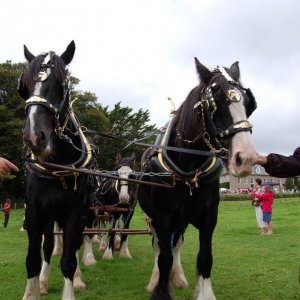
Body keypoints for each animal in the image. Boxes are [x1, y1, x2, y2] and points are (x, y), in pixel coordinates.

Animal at [19, 40, 94, 300]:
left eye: (62, 85)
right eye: (24, 87)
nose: (34, 138)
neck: (57, 166)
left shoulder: (74, 213)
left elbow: (69, 260)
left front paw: (73, 285)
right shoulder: (35, 212)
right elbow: (33, 258)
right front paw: (32, 290)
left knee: (75, 246)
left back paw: (79, 279)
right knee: (49, 246)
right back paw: (43, 281)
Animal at [138, 57, 258, 298]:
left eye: (249, 103)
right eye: (214, 102)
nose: (247, 158)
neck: (189, 172)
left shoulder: (209, 217)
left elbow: (204, 258)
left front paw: (202, 292)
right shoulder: (163, 216)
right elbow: (164, 258)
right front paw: (161, 290)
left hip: (181, 221)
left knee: (176, 245)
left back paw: (178, 278)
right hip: (153, 218)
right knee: (158, 247)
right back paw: (156, 280)